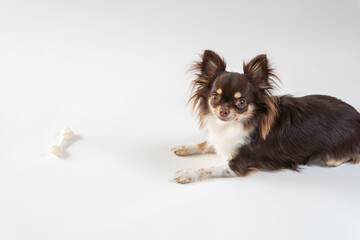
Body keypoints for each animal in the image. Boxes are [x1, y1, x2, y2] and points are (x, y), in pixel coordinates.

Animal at [169, 49, 360, 184]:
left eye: (241, 102)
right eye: (215, 97)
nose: (223, 111)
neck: (236, 124)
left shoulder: (239, 164)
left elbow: (209, 168)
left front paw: (188, 173)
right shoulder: (224, 142)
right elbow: (205, 144)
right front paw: (183, 147)